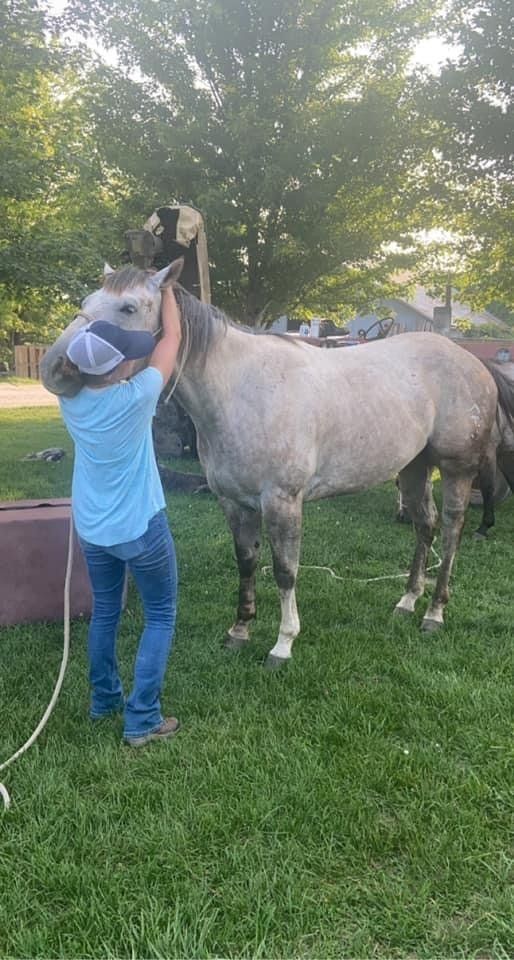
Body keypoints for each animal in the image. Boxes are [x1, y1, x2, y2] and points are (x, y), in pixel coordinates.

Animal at [41, 260, 514, 667]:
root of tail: (474, 361)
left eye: (129, 307)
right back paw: (407, 601)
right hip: (414, 468)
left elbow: (286, 572)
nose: (54, 367)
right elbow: (247, 562)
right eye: (86, 301)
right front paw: (239, 631)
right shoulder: (234, 503)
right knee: (424, 526)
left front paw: (283, 645)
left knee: (450, 530)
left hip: (456, 469)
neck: (240, 391)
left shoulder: (283, 503)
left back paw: (434, 612)